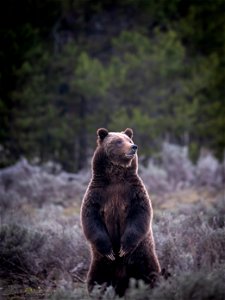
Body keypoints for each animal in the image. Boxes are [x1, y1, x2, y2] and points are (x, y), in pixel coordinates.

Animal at [80, 127, 161, 296]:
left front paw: (124, 248)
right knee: (96, 280)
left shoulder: (133, 192)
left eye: (129, 140)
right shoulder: (97, 194)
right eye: (118, 141)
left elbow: (140, 214)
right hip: (100, 264)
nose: (133, 147)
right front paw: (110, 251)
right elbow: (90, 219)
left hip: (143, 257)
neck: (115, 176)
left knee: (150, 274)